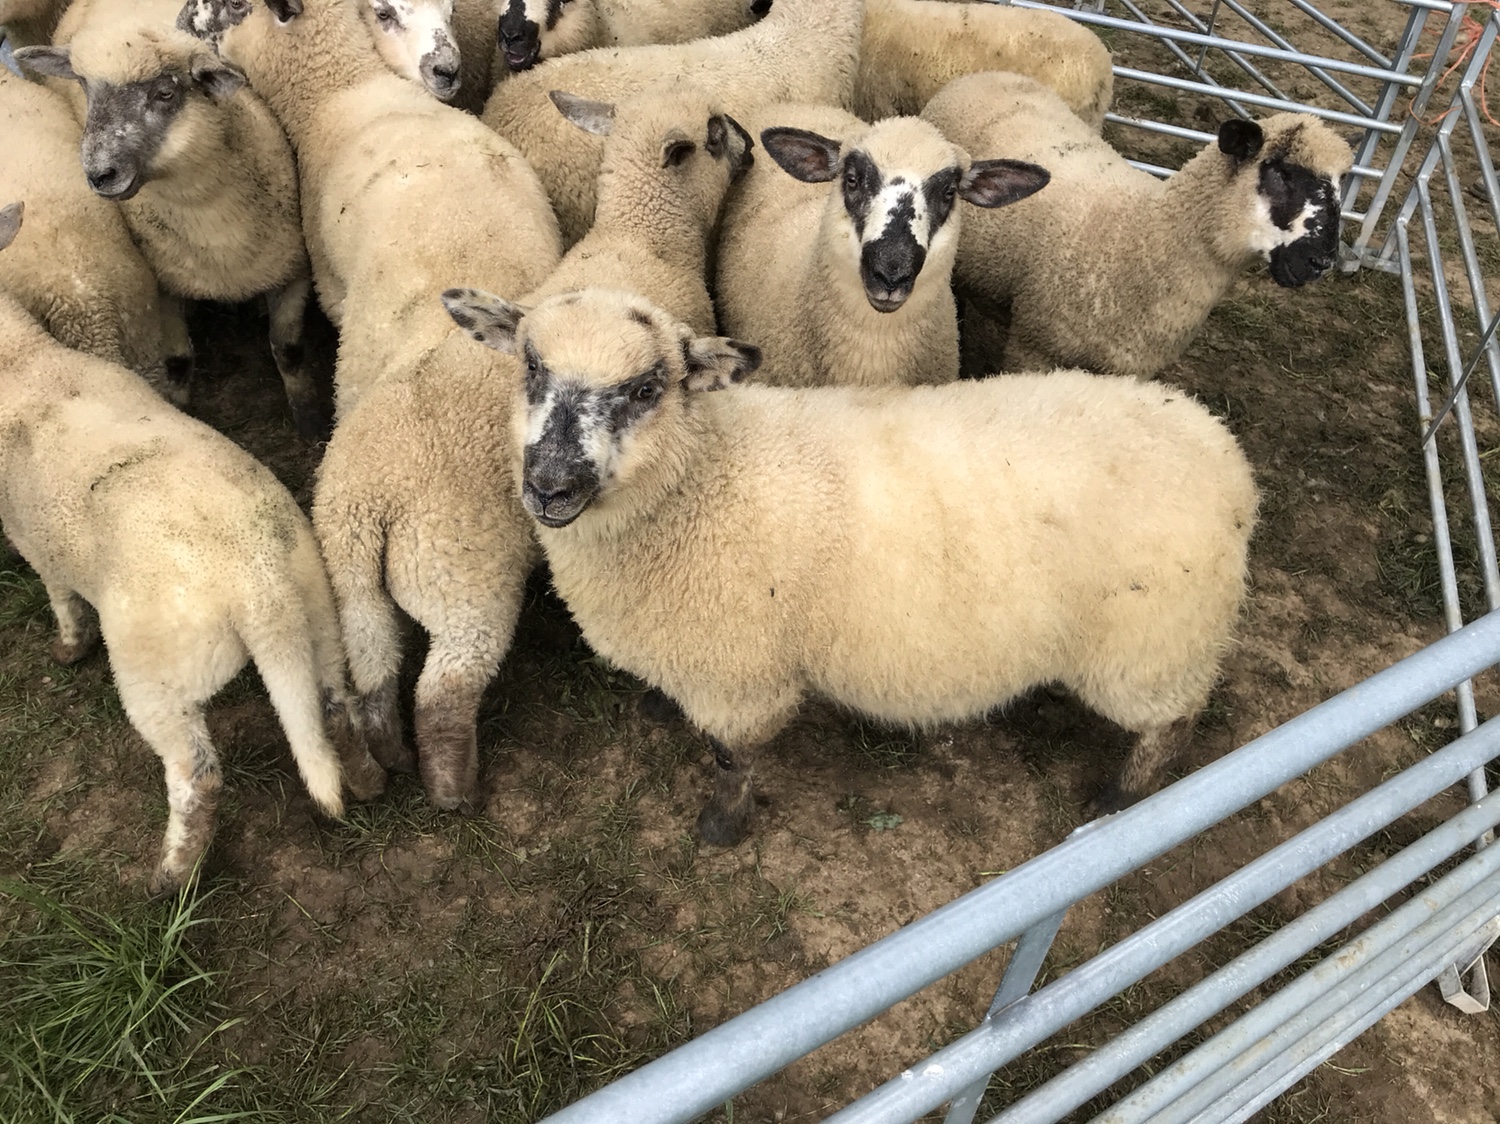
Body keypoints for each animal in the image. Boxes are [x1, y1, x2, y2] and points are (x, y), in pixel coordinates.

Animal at [0, 201, 385, 892]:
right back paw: (366, 782)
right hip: (318, 611)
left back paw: (173, 874)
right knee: (335, 705)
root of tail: (262, 593)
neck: (20, 360)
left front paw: (67, 650)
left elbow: (61, 600)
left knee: (197, 775)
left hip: (160, 673)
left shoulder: (33, 539)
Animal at [317, 85, 751, 810]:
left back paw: (378, 767)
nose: (750, 151)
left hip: (355, 591)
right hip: (462, 580)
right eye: (716, 134)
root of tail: (362, 505)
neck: (643, 238)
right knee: (443, 693)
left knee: (367, 679)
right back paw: (454, 794)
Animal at [440, 286, 1259, 844]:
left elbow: (733, 760)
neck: (702, 480)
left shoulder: (743, 677)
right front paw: (658, 707)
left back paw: (1121, 800)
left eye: (647, 388)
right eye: (530, 367)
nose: (549, 485)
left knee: (1172, 723)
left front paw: (720, 828)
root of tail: (1228, 458)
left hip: (1152, 645)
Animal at [921, 72, 1354, 378]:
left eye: (1341, 181)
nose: (1322, 262)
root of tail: (983, 75)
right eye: (1279, 171)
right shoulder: (1035, 348)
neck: (1146, 235)